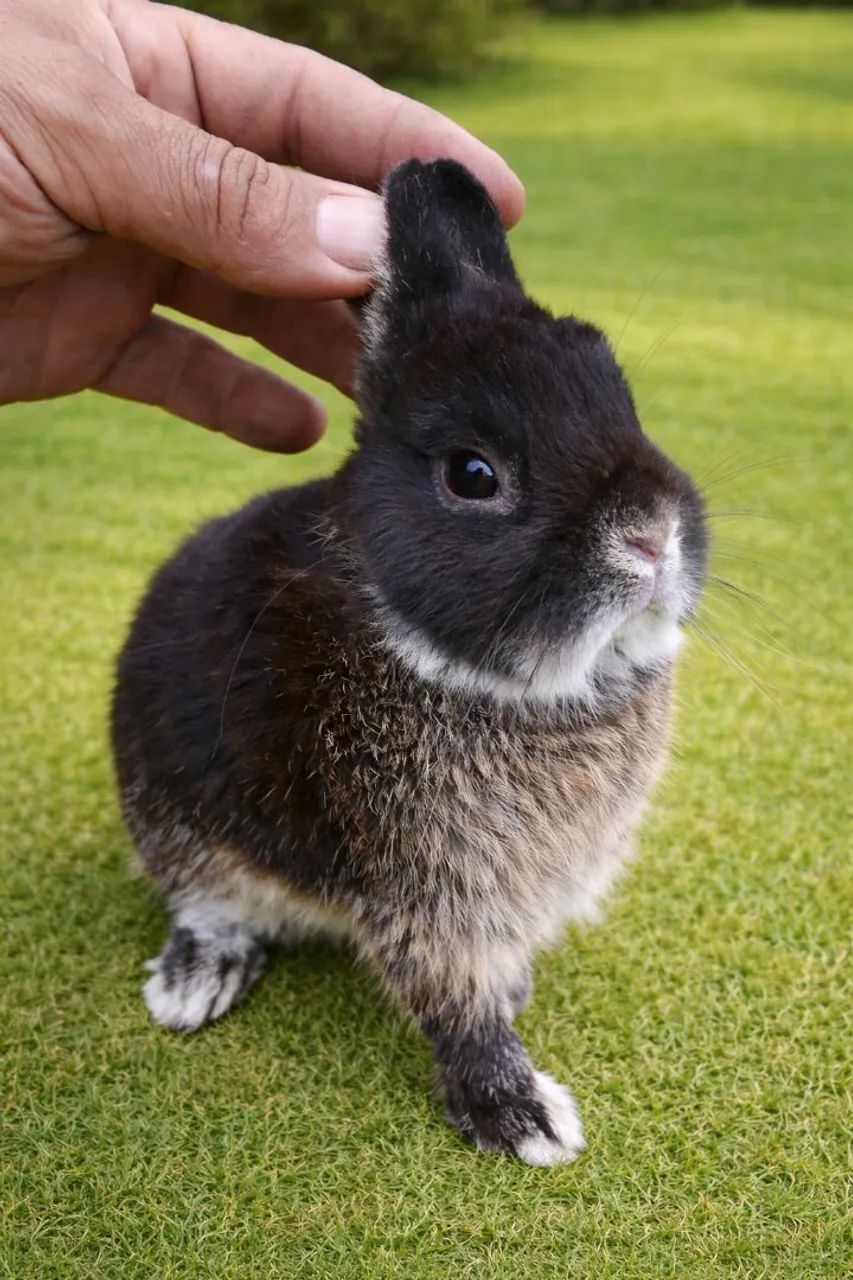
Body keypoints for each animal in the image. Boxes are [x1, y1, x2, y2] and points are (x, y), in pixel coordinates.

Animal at [112, 158, 708, 1165]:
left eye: (625, 409)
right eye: (472, 475)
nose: (650, 535)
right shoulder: (428, 890)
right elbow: (454, 1003)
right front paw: (522, 1118)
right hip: (174, 818)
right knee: (204, 901)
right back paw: (193, 986)